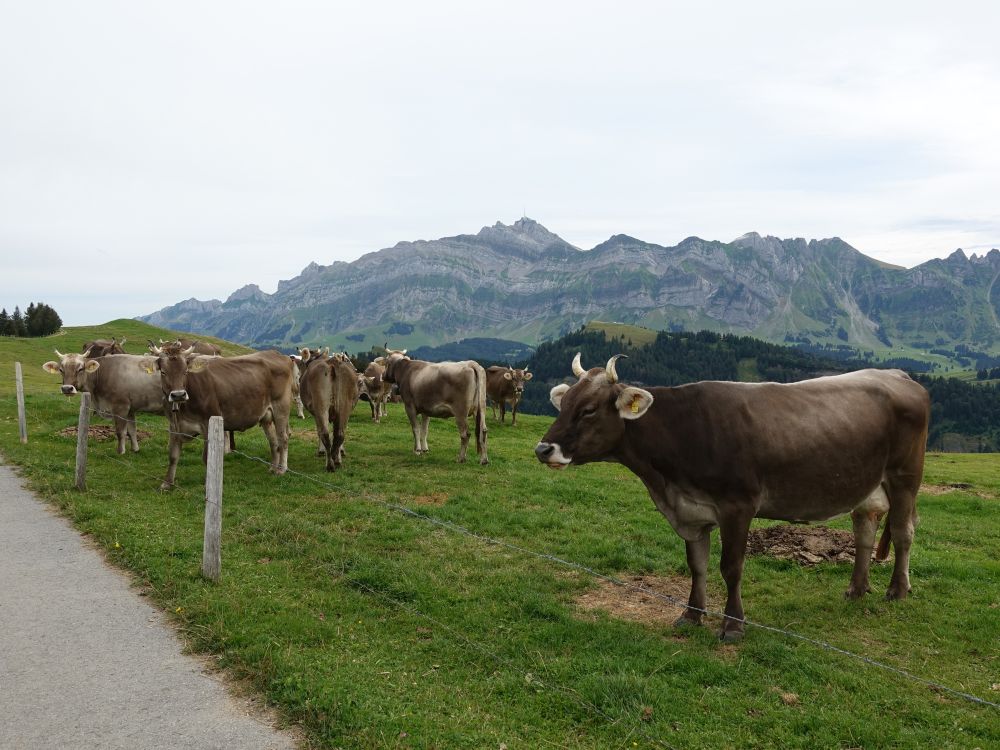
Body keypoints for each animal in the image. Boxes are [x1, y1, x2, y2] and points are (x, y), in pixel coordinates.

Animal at [153, 348, 292, 490]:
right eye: (163, 372)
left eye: (185, 371)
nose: (178, 395)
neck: (182, 410)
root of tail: (275, 353)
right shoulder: (174, 426)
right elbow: (173, 456)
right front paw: (166, 483)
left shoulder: (209, 423)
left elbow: (207, 457)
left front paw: (208, 485)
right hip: (266, 416)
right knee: (273, 441)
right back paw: (273, 468)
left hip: (281, 407)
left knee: (283, 438)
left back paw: (281, 469)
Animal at [536, 356, 932, 644]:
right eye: (563, 403)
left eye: (589, 409)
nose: (543, 449)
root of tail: (897, 374)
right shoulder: (692, 512)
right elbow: (697, 565)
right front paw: (691, 615)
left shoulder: (738, 506)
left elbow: (731, 567)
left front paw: (732, 625)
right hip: (867, 483)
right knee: (865, 530)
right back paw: (856, 589)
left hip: (905, 477)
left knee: (903, 531)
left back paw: (897, 590)